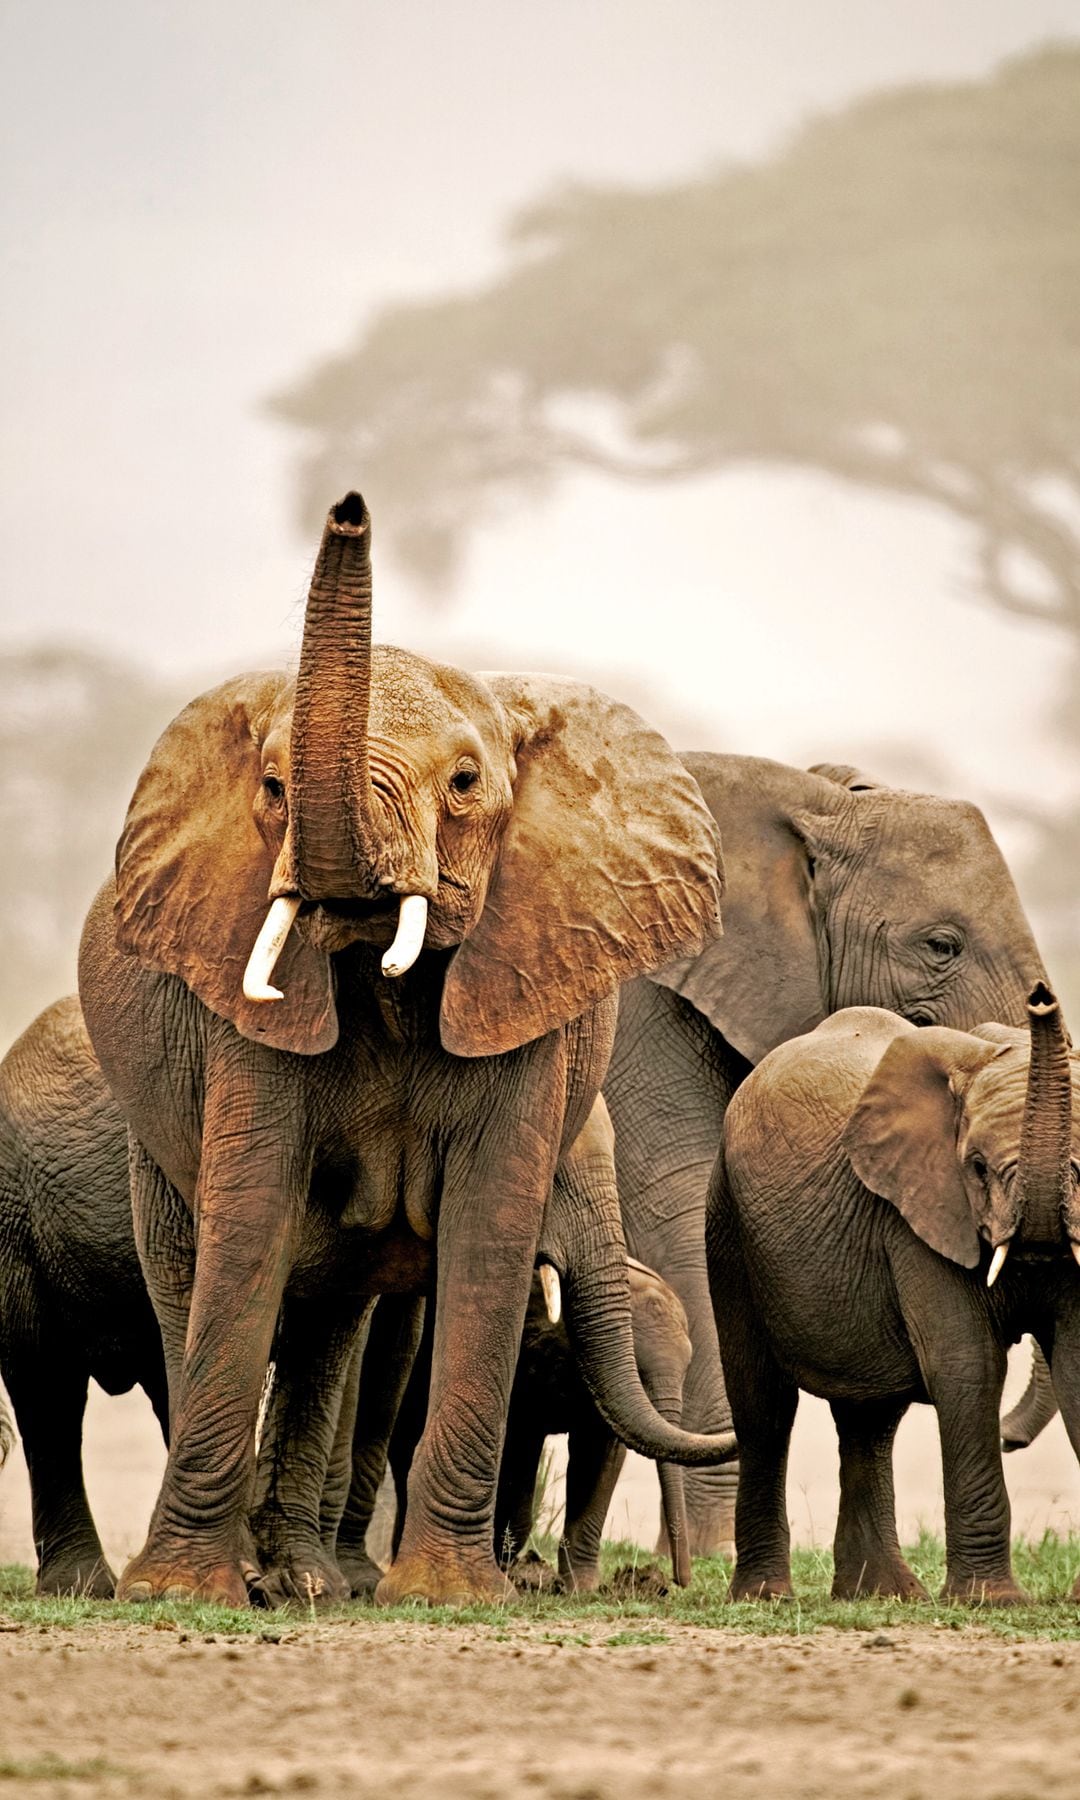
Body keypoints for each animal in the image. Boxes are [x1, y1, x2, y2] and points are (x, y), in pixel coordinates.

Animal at [76, 490, 735, 1608]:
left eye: (465, 782)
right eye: (271, 788)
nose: (348, 507)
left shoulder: (525, 994)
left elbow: (489, 1225)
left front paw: (446, 1597)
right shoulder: (243, 1006)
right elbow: (247, 1218)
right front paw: (174, 1597)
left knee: (333, 1323)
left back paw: (308, 1581)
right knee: (198, 1275)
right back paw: (276, 1579)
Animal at [604, 754, 1047, 1556]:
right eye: (940, 946)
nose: (1006, 1435)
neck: (806, 800)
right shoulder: (639, 1004)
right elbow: (684, 1215)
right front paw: (716, 1554)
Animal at [707, 984, 1080, 1605]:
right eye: (977, 1167)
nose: (1042, 997)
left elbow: (1077, 1366)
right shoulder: (915, 1217)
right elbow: (967, 1365)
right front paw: (992, 1601)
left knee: (869, 1419)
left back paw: (882, 1596)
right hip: (726, 1220)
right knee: (764, 1405)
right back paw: (766, 1597)